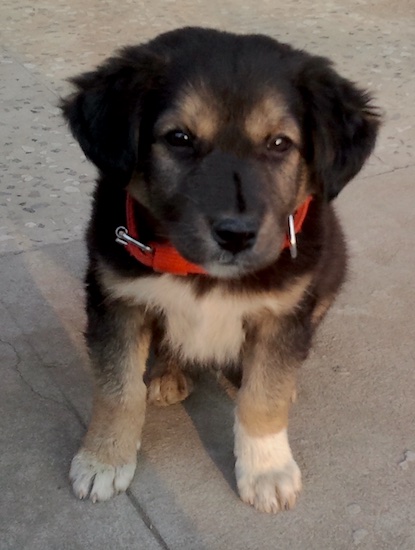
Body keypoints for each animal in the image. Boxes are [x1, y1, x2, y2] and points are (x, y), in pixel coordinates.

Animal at [61, 25, 380, 516]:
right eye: (179, 138)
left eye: (279, 143)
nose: (235, 235)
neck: (200, 273)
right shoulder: (116, 301)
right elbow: (118, 389)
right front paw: (104, 459)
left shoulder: (284, 313)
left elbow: (263, 397)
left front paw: (267, 470)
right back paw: (169, 374)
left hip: (330, 274)